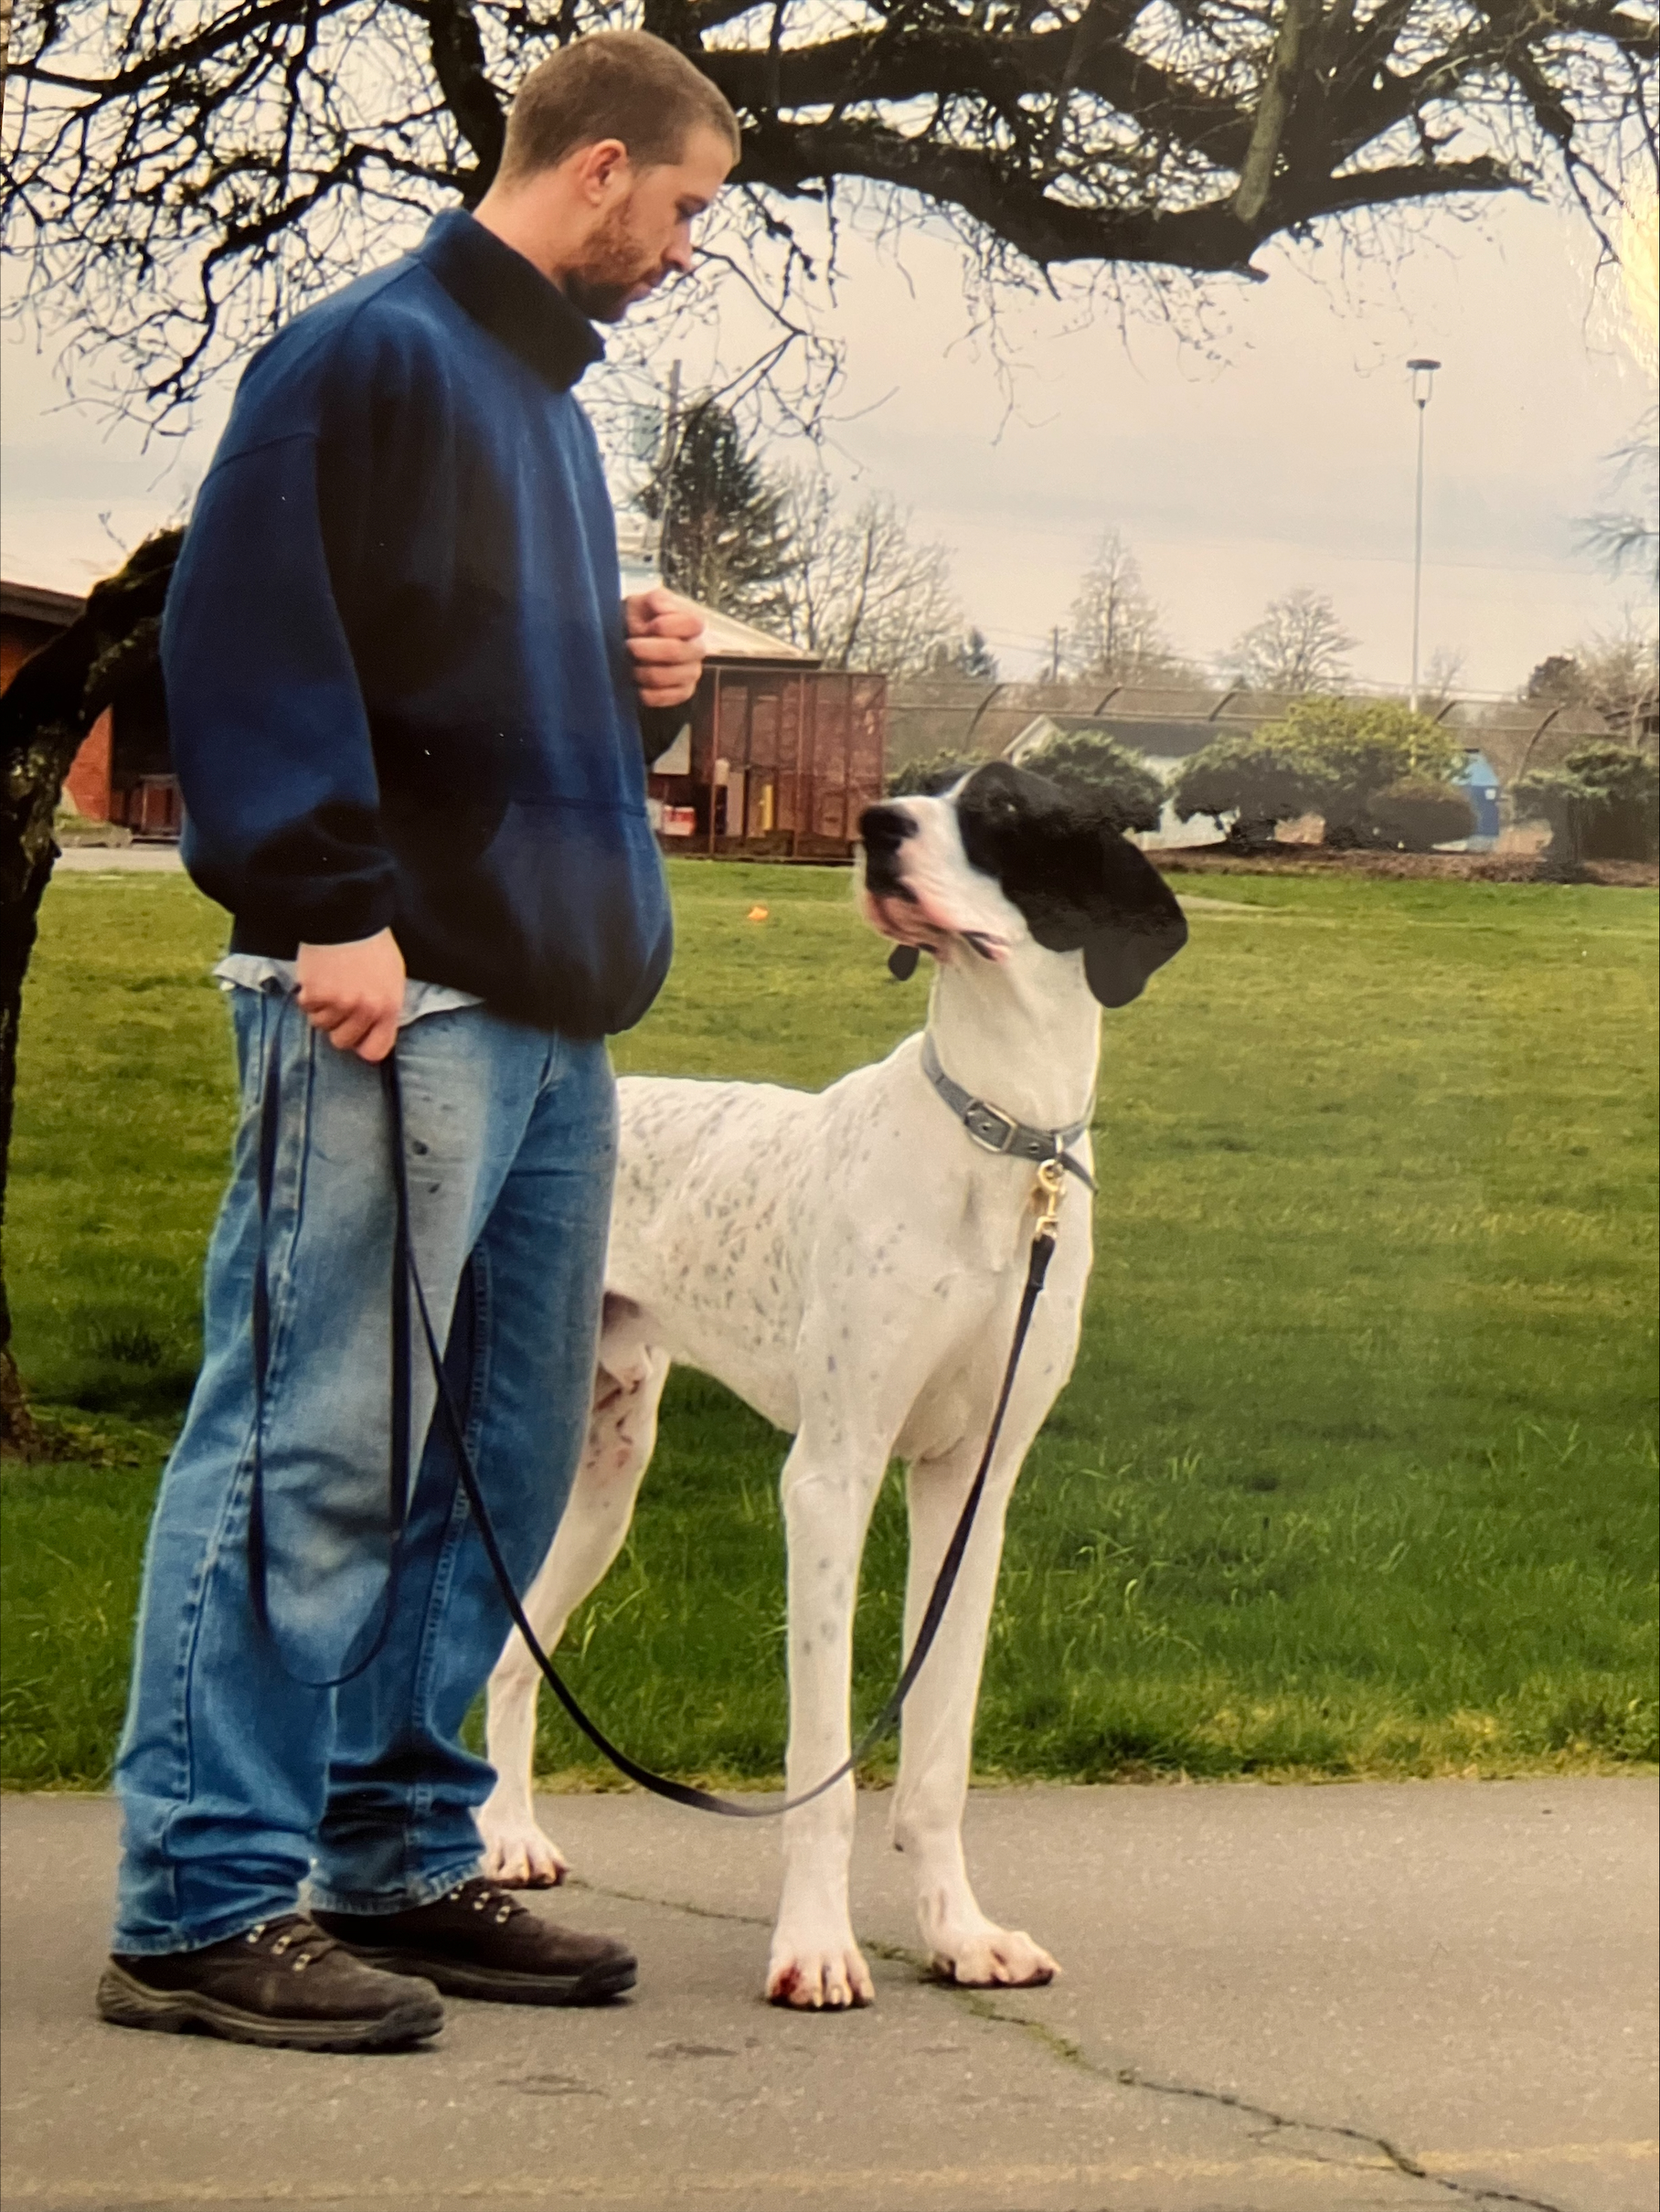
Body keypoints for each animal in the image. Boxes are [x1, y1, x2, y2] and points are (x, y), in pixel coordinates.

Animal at [474, 770, 1186, 2017]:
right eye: (927, 784)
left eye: (1005, 804)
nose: (876, 825)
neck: (1003, 1138)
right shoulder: (829, 1477)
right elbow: (823, 1763)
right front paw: (813, 1946)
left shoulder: (969, 1490)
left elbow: (938, 1753)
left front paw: (960, 1933)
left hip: (605, 1476)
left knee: (517, 1657)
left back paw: (511, 1834)